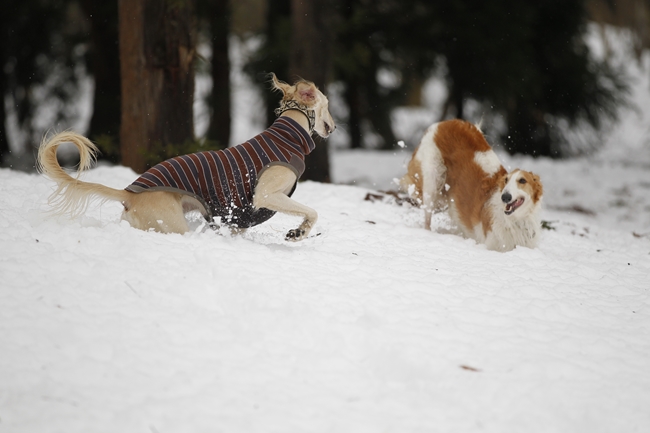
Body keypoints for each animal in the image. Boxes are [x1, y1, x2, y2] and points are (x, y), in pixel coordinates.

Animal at [36, 75, 334, 243]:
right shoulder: (265, 196)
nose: (333, 127)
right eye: (328, 105)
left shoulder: (239, 219)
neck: (287, 136)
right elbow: (312, 212)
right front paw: (298, 233)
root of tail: (129, 195)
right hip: (172, 224)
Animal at [400, 120, 540, 251]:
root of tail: (444, 123)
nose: (505, 197)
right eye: (505, 180)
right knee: (427, 218)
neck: (515, 221)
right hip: (433, 182)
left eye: (522, 181)